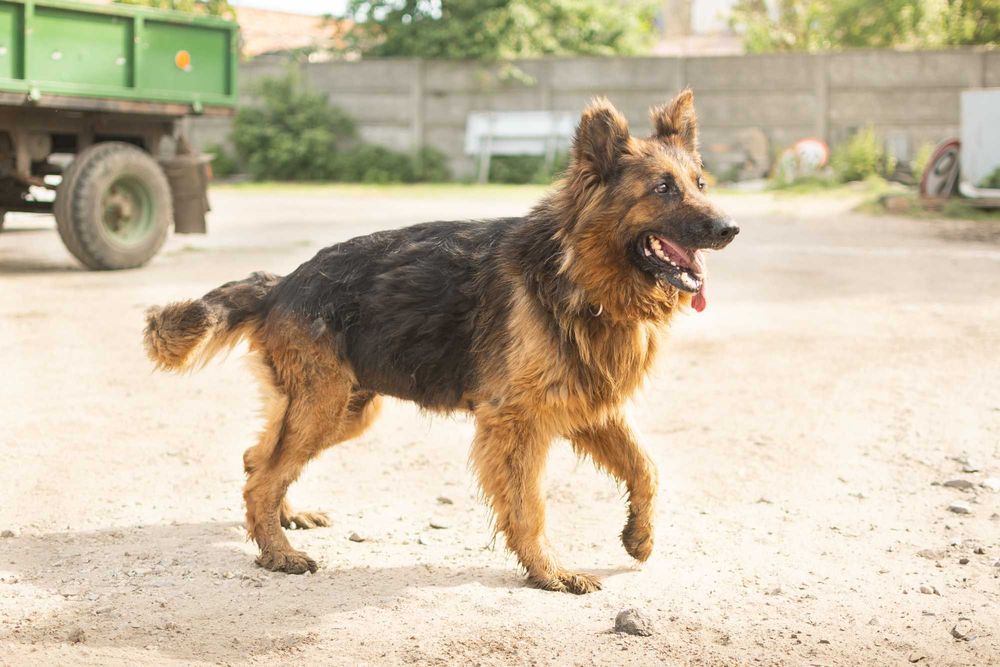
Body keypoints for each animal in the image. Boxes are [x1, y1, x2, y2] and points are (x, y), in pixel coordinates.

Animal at [143, 90, 736, 596]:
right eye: (663, 188)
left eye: (700, 184)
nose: (730, 229)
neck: (577, 271)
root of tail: (281, 283)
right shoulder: (516, 423)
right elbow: (530, 507)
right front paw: (549, 572)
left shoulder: (589, 404)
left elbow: (647, 468)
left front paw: (640, 537)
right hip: (324, 407)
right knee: (260, 479)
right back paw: (277, 551)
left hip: (345, 410)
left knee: (258, 458)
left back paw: (286, 518)